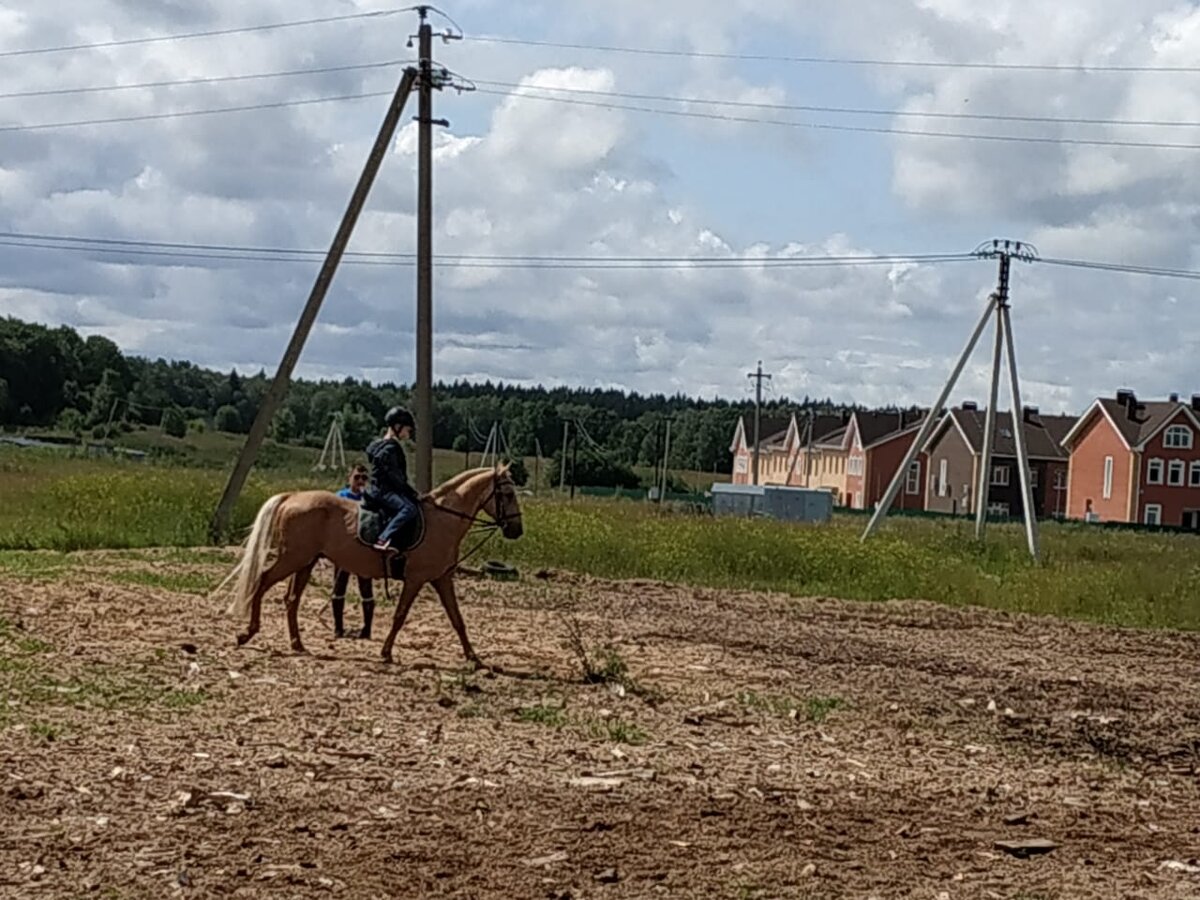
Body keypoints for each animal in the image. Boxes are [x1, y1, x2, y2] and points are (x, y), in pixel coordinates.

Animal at [211, 468, 520, 667]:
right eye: (507, 493)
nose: (517, 530)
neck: (443, 520)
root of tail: (293, 496)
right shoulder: (416, 579)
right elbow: (400, 616)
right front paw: (385, 653)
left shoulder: (442, 579)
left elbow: (457, 619)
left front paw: (474, 658)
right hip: (293, 559)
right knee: (262, 582)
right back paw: (248, 633)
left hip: (305, 562)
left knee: (291, 599)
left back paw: (297, 644)